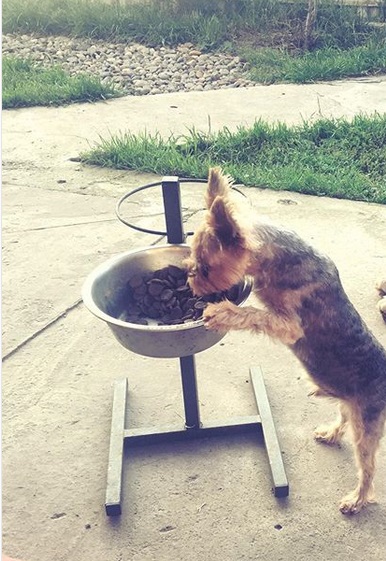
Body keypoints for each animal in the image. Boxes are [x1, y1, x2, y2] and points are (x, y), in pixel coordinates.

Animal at [186, 167, 386, 516]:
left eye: (206, 268)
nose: (191, 283)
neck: (275, 257)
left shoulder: (287, 324)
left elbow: (253, 314)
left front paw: (222, 312)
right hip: (351, 403)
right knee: (344, 417)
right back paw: (330, 433)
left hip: (368, 422)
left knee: (368, 467)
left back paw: (356, 500)